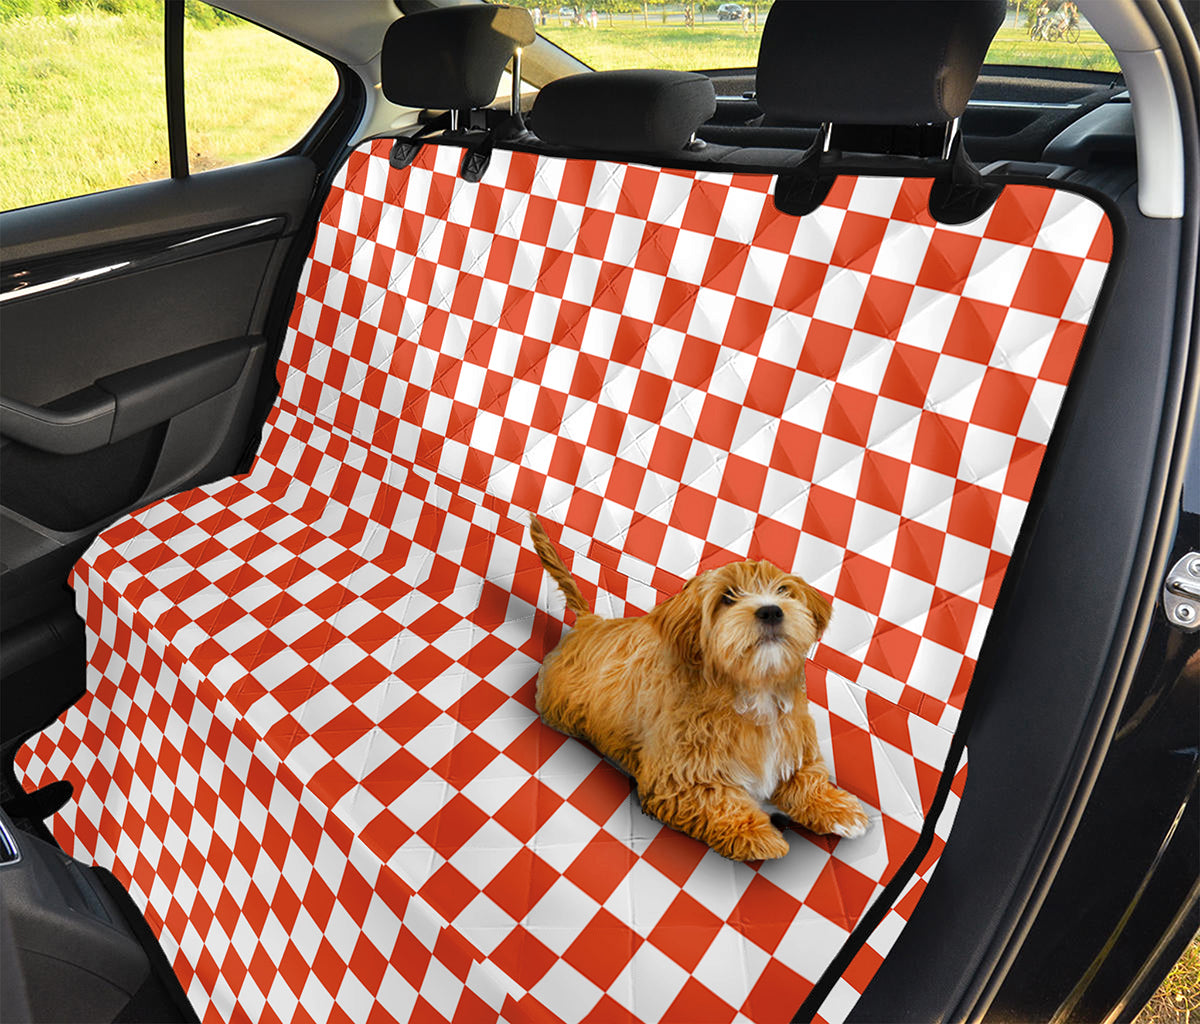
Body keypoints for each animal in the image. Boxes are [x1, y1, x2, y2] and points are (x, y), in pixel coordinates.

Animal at [530, 516, 868, 859]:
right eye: (727, 597)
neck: (752, 693)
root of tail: (590, 623)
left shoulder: (793, 746)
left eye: (784, 590)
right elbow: (717, 800)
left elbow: (808, 777)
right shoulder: (678, 778)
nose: (772, 610)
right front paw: (756, 834)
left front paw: (837, 808)